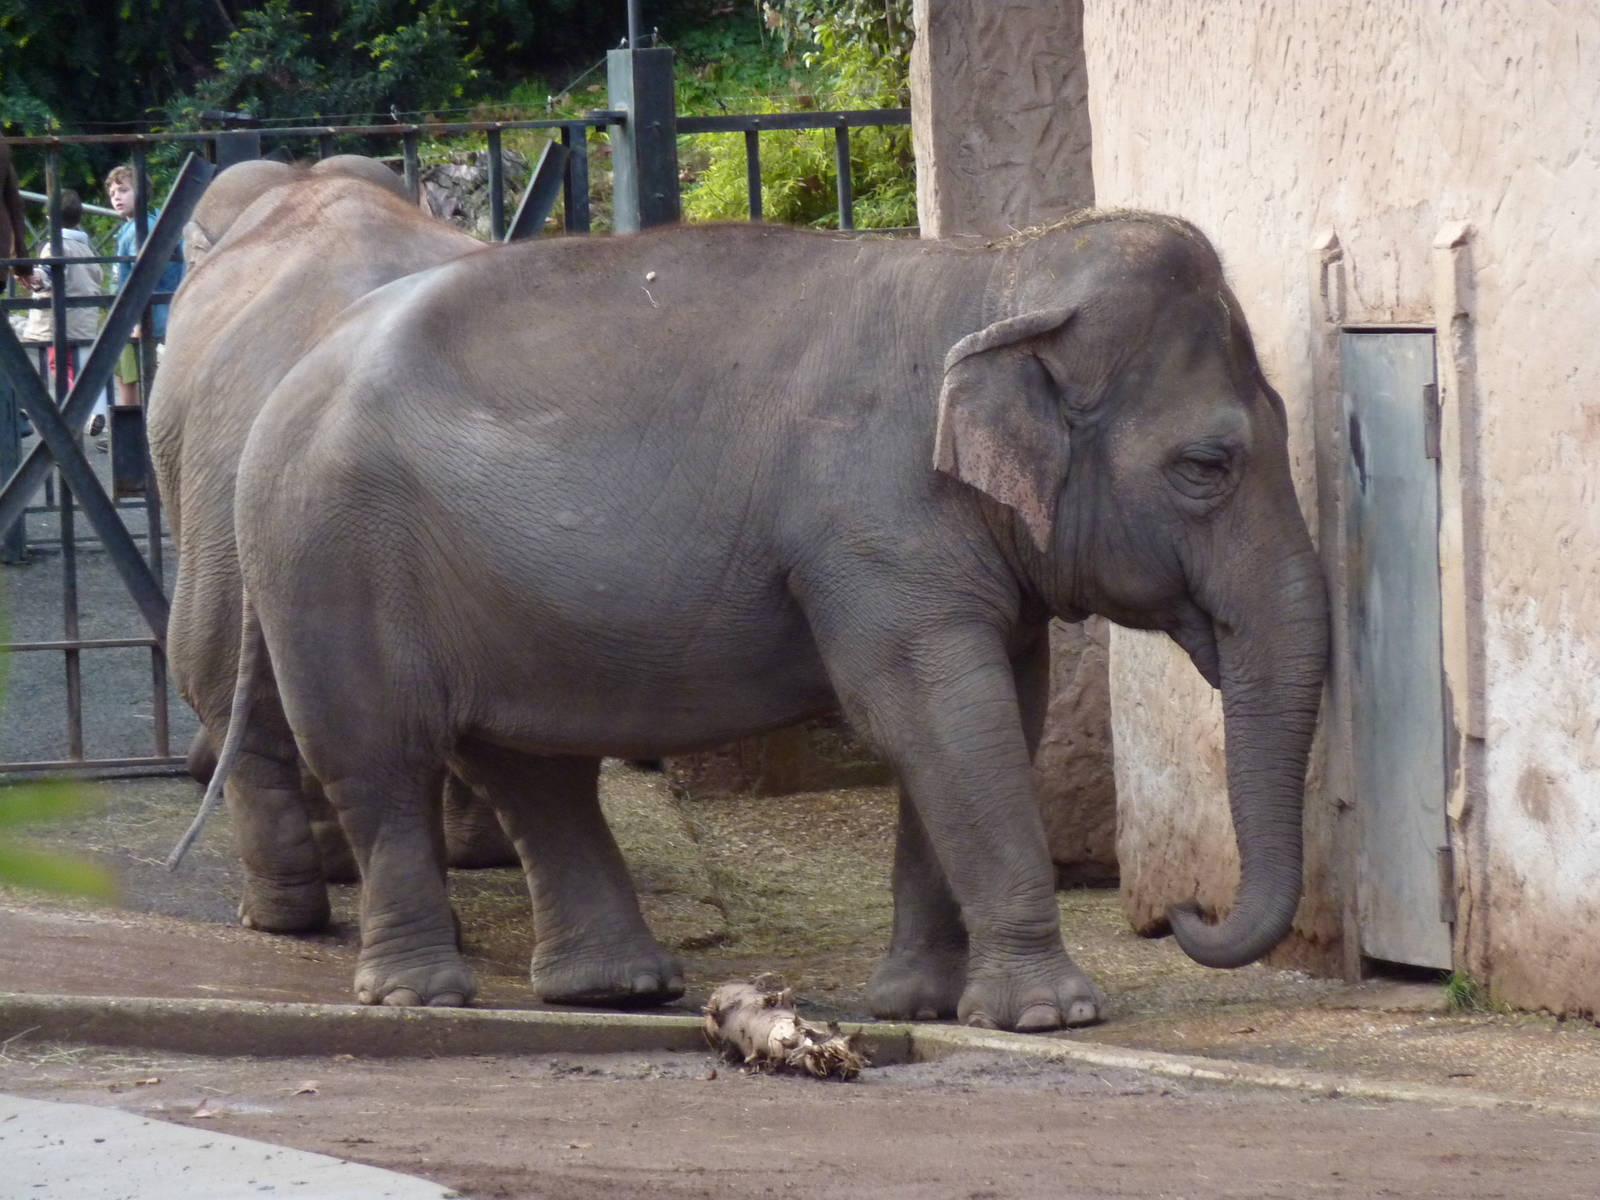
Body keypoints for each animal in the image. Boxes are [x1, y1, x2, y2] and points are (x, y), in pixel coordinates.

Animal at [225, 209, 1329, 1031]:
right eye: (1207, 465)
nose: (1184, 912)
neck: (998, 277)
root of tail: (285, 376)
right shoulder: (875, 526)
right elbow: (933, 715)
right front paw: (1050, 1015)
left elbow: (991, 718)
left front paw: (918, 1006)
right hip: (328, 558)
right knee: (381, 762)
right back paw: (420, 994)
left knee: (528, 767)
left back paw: (617, 988)